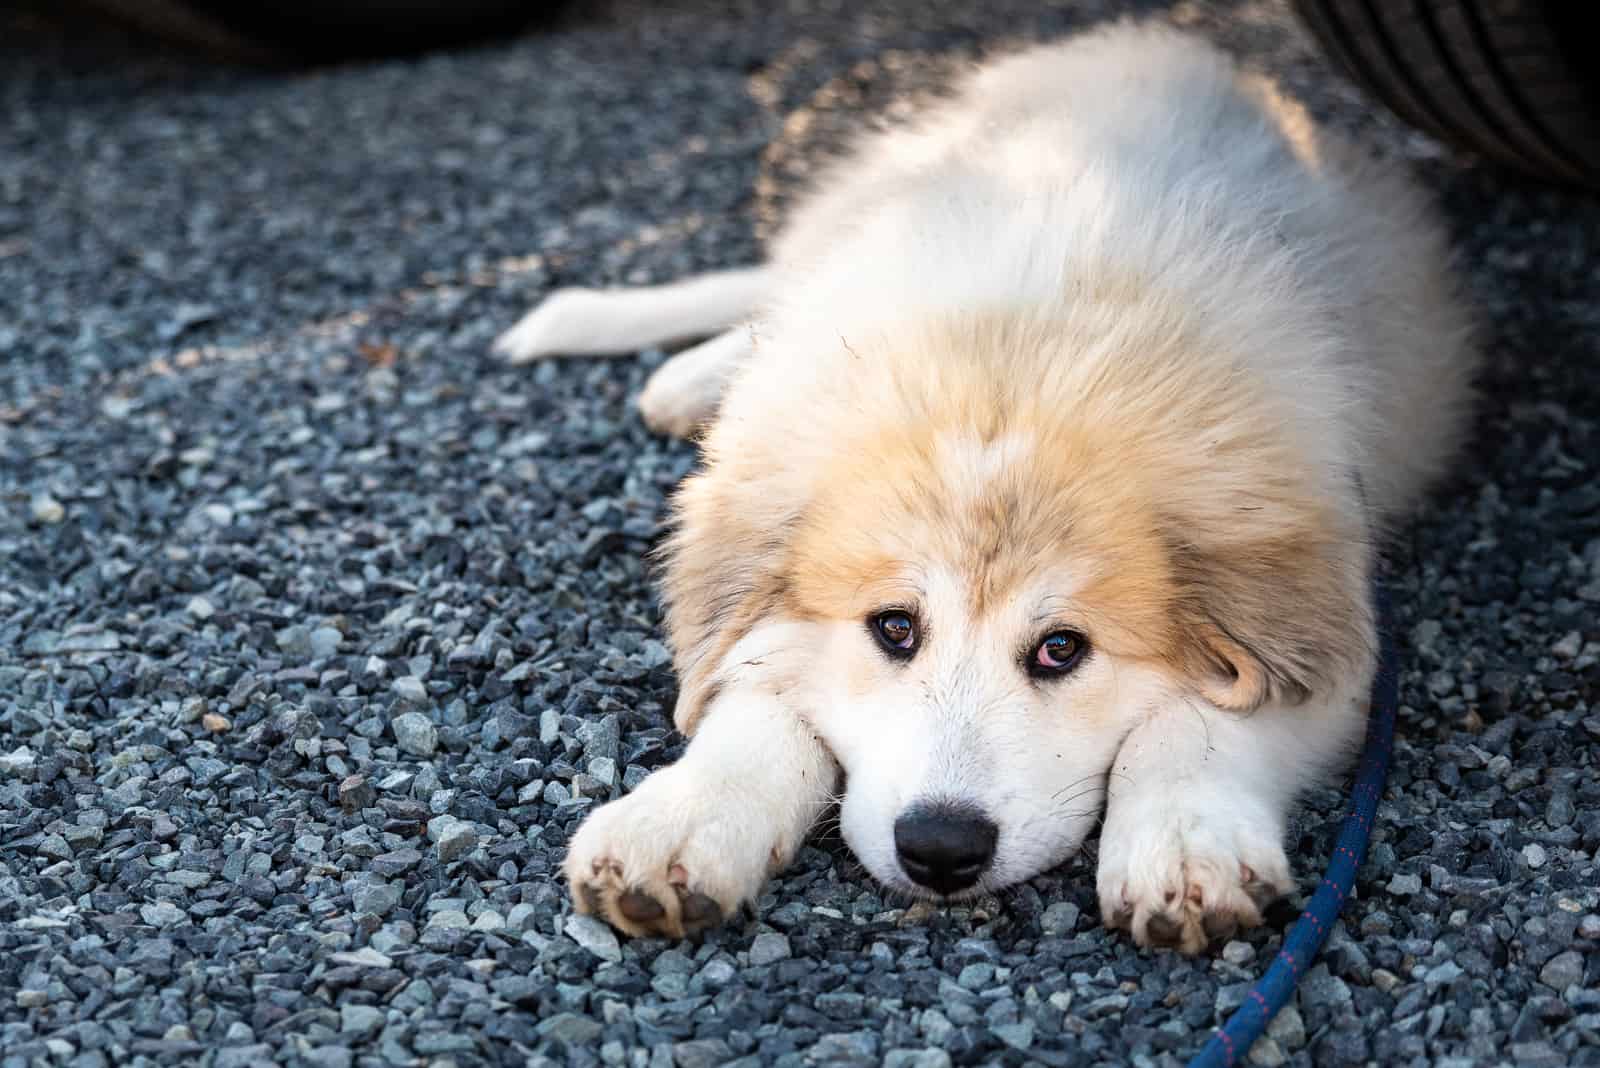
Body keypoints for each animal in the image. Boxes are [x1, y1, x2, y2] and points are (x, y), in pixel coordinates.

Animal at [496, 20, 1472, 952]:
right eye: (894, 628)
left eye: (1062, 649)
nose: (940, 849)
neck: (1012, 355)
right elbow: (754, 694)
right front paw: (679, 821)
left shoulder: (1333, 645)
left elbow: (1199, 718)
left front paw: (1187, 844)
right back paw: (686, 371)